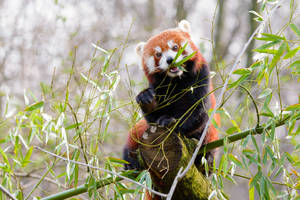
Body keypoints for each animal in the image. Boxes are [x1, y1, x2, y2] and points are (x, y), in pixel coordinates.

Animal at [122, 19, 220, 175]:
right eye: (158, 54)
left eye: (175, 47)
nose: (169, 60)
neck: (176, 80)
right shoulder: (158, 88)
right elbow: (152, 119)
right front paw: (146, 97)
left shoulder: (200, 79)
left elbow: (197, 113)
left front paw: (171, 122)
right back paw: (130, 161)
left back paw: (206, 159)